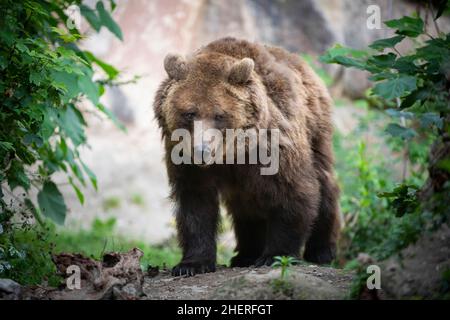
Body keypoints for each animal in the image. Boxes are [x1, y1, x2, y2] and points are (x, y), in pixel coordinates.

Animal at [153, 37, 340, 276]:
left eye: (219, 115)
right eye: (189, 113)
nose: (202, 150)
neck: (231, 154)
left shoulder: (273, 145)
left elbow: (294, 191)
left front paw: (275, 255)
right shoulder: (183, 157)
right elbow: (196, 204)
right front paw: (191, 264)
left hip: (315, 128)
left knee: (324, 183)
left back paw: (322, 250)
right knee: (246, 205)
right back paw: (246, 254)